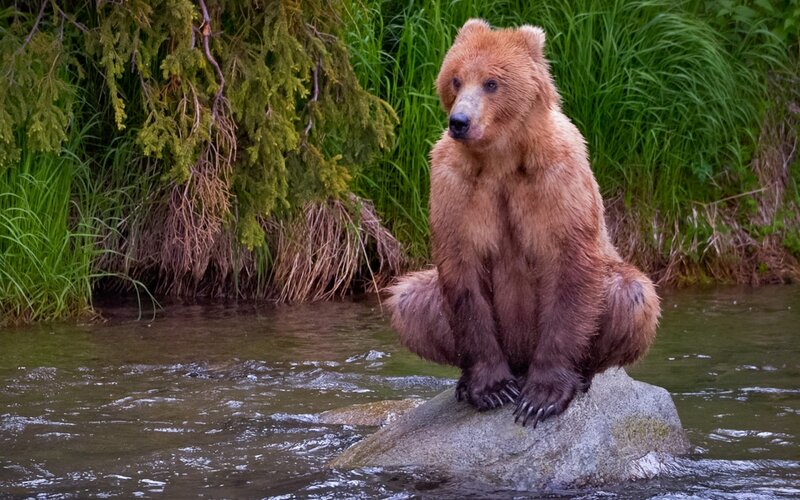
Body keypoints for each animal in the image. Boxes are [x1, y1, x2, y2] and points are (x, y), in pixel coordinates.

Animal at [385, 19, 660, 428]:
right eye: (455, 79)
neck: (501, 157)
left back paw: (582, 376)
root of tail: (520, 360)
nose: (459, 122)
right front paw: (492, 388)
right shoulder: (455, 184)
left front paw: (542, 397)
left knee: (633, 293)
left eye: (491, 82)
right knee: (409, 299)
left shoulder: (556, 178)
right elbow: (462, 270)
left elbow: (570, 265)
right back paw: (465, 382)